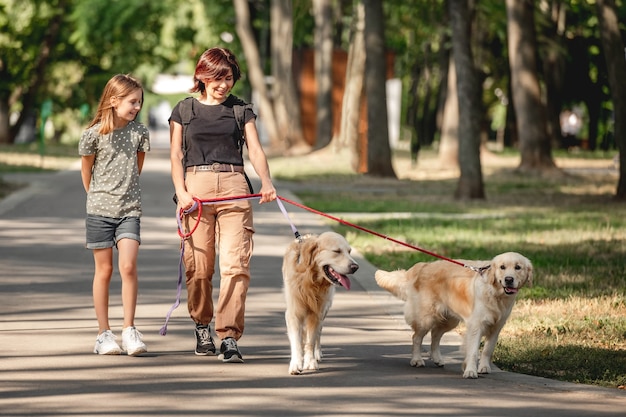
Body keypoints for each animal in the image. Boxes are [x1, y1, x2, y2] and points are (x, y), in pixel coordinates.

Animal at [282, 231, 356, 374]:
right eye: (337, 251)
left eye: (349, 251)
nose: (355, 267)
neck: (311, 280)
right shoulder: (294, 312)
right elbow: (296, 341)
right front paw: (296, 364)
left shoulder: (316, 313)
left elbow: (311, 339)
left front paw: (310, 361)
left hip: (323, 311)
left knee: (318, 334)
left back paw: (317, 354)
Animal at [372, 252, 528, 378]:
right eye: (502, 267)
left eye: (518, 267)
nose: (509, 279)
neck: (496, 294)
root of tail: (423, 266)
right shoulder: (476, 325)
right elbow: (473, 351)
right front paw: (470, 371)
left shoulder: (496, 327)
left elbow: (488, 350)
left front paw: (484, 367)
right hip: (426, 318)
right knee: (416, 337)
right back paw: (416, 360)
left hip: (449, 320)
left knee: (435, 335)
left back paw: (437, 358)